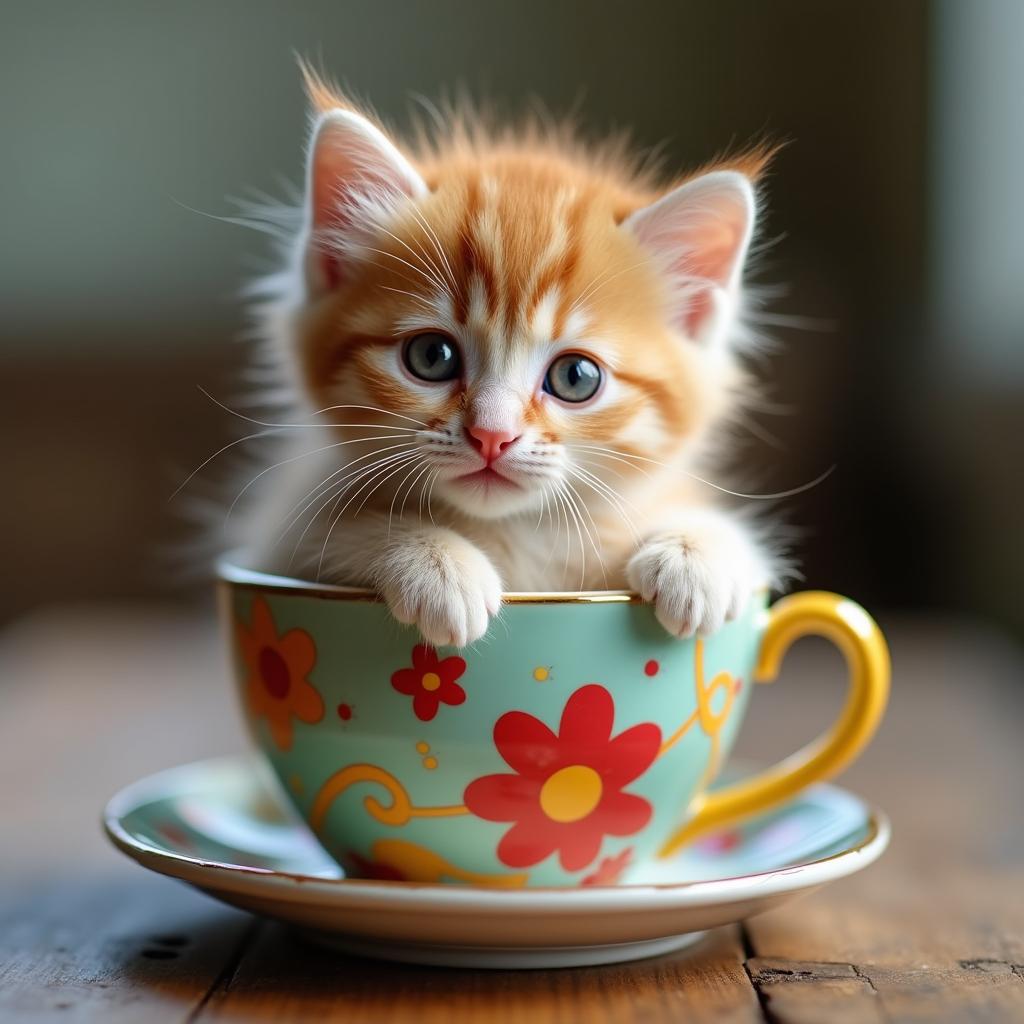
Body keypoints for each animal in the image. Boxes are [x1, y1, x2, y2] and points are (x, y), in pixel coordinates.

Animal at [235, 70, 786, 647]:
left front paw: (697, 555)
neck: (514, 535)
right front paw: (437, 563)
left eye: (576, 377)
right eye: (431, 356)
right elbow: (327, 534)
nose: (492, 435)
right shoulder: (278, 537)